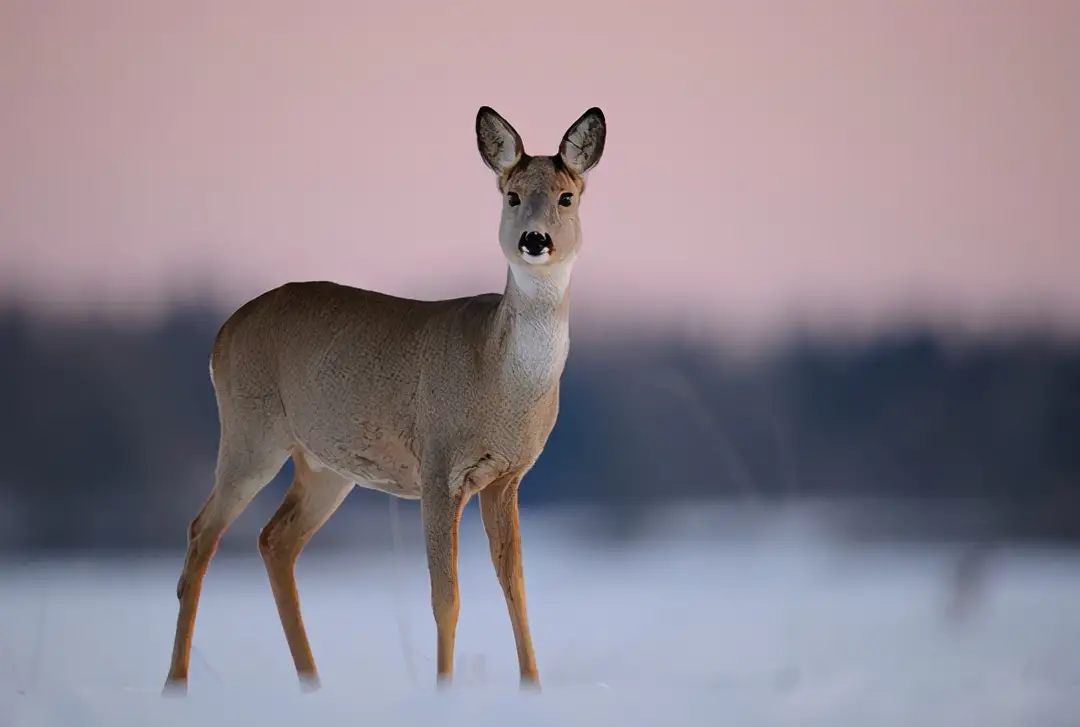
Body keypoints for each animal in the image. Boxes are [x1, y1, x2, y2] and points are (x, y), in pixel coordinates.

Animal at [165, 106, 613, 691]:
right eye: (512, 195)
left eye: (566, 197)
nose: (535, 240)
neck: (499, 375)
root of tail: (222, 333)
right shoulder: (440, 466)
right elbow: (445, 597)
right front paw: (444, 690)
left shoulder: (508, 476)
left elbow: (515, 588)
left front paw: (532, 688)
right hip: (250, 431)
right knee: (202, 532)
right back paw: (176, 684)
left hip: (325, 465)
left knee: (274, 539)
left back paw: (312, 683)